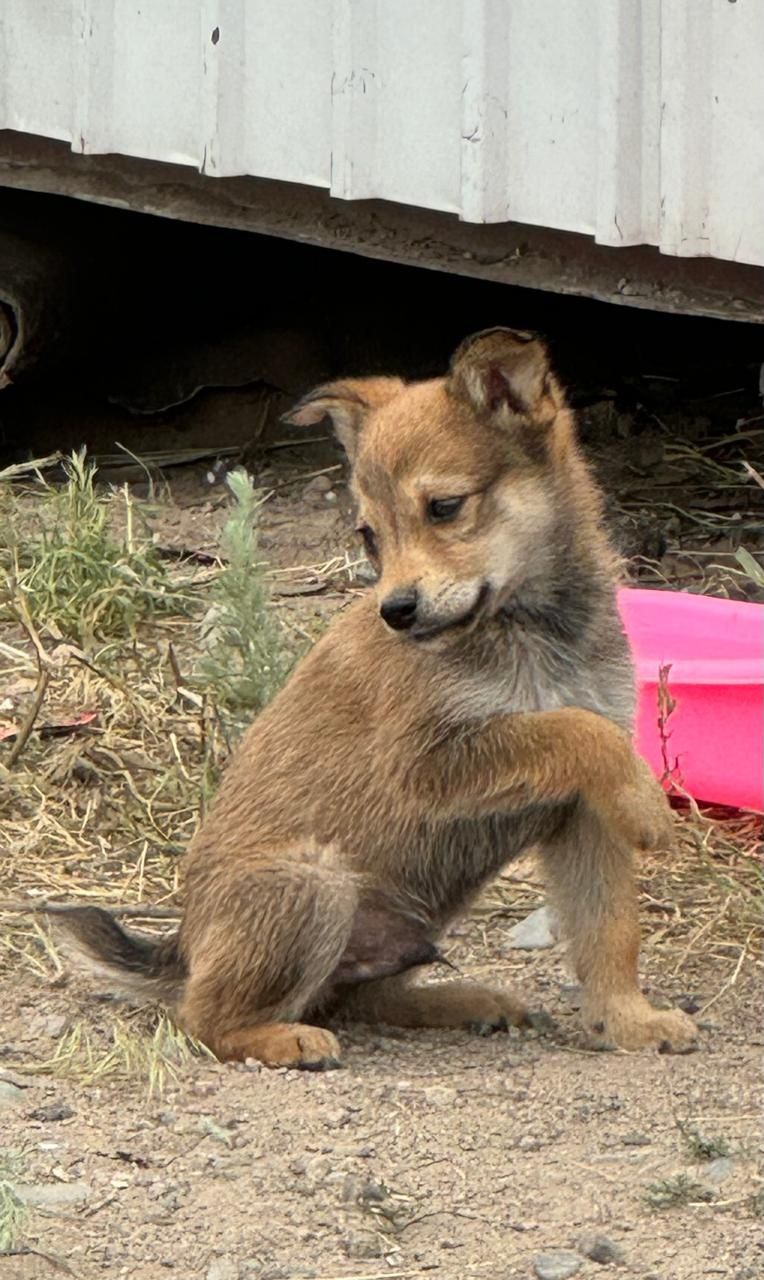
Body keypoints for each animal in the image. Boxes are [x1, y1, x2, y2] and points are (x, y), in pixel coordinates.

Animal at [55, 325, 696, 1064]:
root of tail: (182, 949)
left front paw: (629, 1021)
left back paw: (461, 1002)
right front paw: (652, 810)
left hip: (407, 920)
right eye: (368, 534)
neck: (530, 626)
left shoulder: (582, 815)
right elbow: (570, 729)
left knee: (363, 998)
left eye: (444, 508)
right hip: (316, 884)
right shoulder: (428, 762)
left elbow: (609, 930)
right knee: (206, 1019)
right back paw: (285, 1039)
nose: (397, 611)